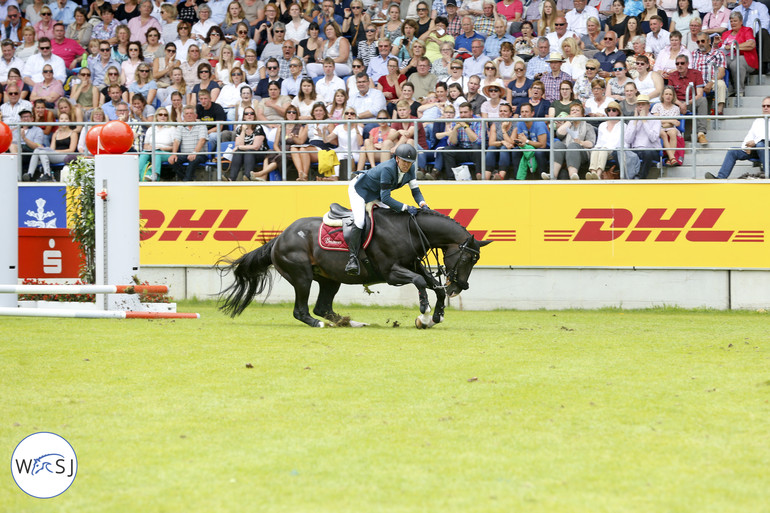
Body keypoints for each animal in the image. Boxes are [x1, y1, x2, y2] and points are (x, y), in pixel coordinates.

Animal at [216, 206, 488, 326]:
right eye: (468, 259)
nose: (459, 287)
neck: (410, 230)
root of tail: (279, 238)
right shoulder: (392, 273)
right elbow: (422, 283)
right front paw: (424, 312)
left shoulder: (414, 266)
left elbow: (434, 286)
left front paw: (437, 314)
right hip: (302, 276)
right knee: (302, 311)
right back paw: (320, 324)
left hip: (329, 280)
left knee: (322, 307)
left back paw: (349, 322)